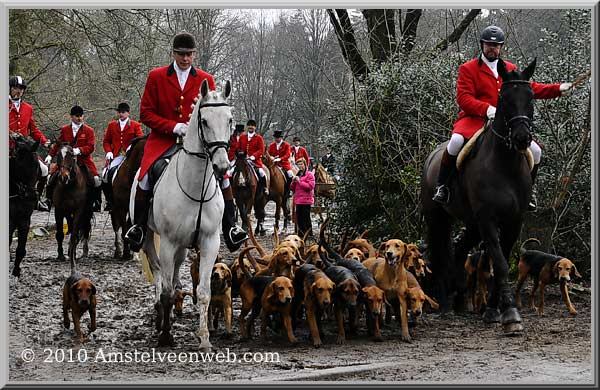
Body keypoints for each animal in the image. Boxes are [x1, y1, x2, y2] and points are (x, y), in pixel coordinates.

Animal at [52, 142, 94, 272]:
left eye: (71, 155)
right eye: (58, 155)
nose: (63, 177)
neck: (70, 185)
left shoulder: (79, 211)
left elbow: (75, 233)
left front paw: (72, 253)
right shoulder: (59, 210)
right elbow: (61, 233)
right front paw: (61, 255)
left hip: (87, 212)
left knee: (85, 228)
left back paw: (84, 252)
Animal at [130, 79, 231, 350]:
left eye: (229, 119)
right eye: (204, 121)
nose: (222, 167)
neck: (195, 186)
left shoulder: (209, 241)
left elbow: (205, 292)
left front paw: (204, 339)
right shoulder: (168, 241)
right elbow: (165, 290)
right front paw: (166, 335)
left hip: (184, 246)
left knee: (174, 273)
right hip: (149, 237)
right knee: (158, 272)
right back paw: (160, 316)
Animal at [420, 58, 536, 336]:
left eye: (531, 97)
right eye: (504, 98)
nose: (522, 138)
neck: (506, 165)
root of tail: (433, 154)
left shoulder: (513, 222)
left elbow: (499, 260)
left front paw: (494, 310)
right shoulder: (488, 220)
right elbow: (501, 263)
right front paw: (510, 314)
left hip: (471, 224)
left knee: (460, 250)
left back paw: (460, 299)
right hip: (438, 218)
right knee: (439, 254)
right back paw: (444, 304)